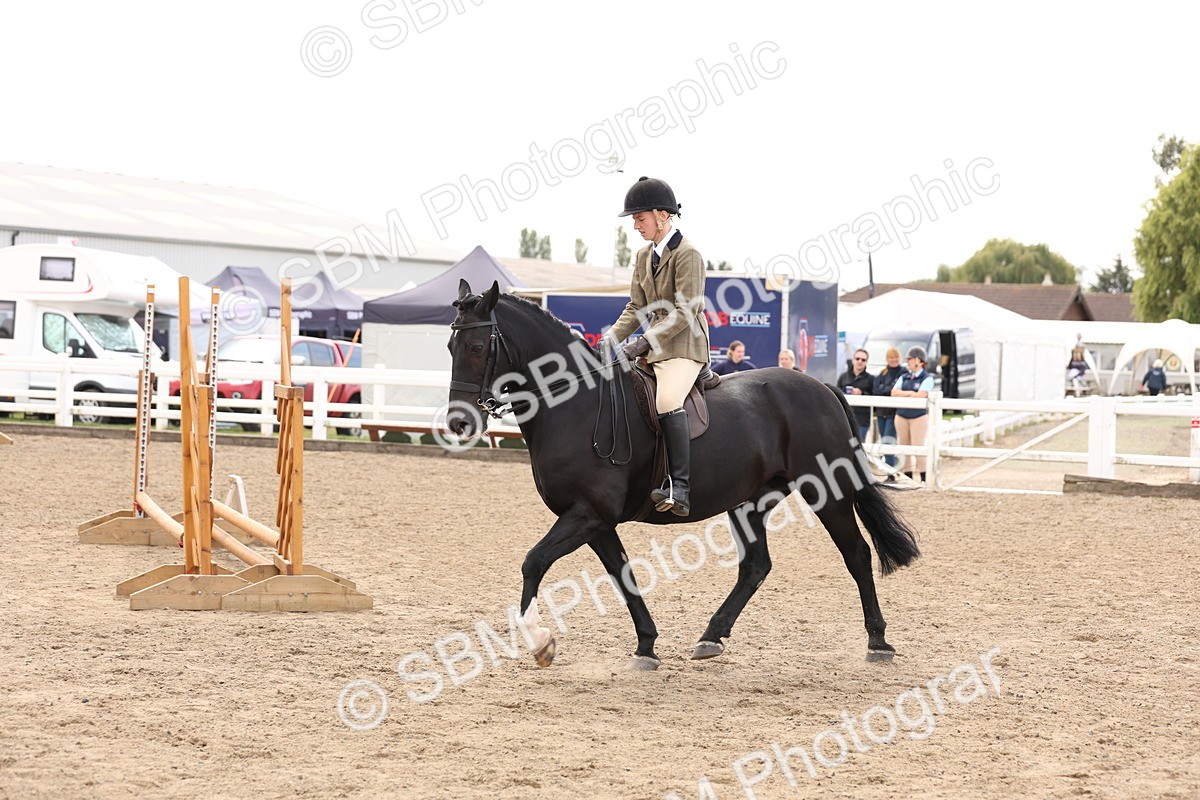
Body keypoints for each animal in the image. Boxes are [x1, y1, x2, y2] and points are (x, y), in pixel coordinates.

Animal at [446, 279, 920, 670]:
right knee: (756, 565)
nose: (458, 423)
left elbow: (534, 562)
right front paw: (646, 645)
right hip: (750, 501)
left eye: (476, 348)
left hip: (828, 492)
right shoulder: (595, 521)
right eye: (450, 346)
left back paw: (878, 642)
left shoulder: (586, 514)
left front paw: (540, 640)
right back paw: (711, 637)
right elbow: (622, 576)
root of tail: (822, 388)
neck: (575, 403)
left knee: (856, 554)